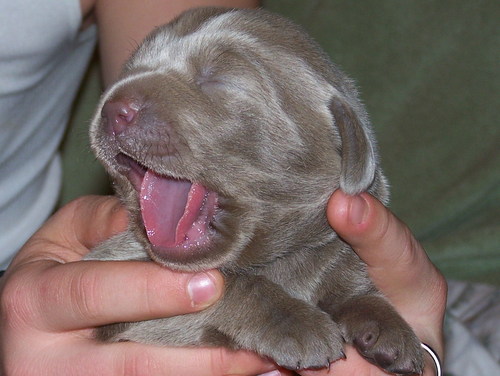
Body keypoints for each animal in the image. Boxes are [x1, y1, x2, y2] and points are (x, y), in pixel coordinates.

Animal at [86, 6, 422, 376]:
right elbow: (236, 285)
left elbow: (351, 284)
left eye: (218, 79)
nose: (113, 109)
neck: (278, 259)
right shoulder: (119, 297)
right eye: (129, 70)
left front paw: (387, 325)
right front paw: (298, 323)